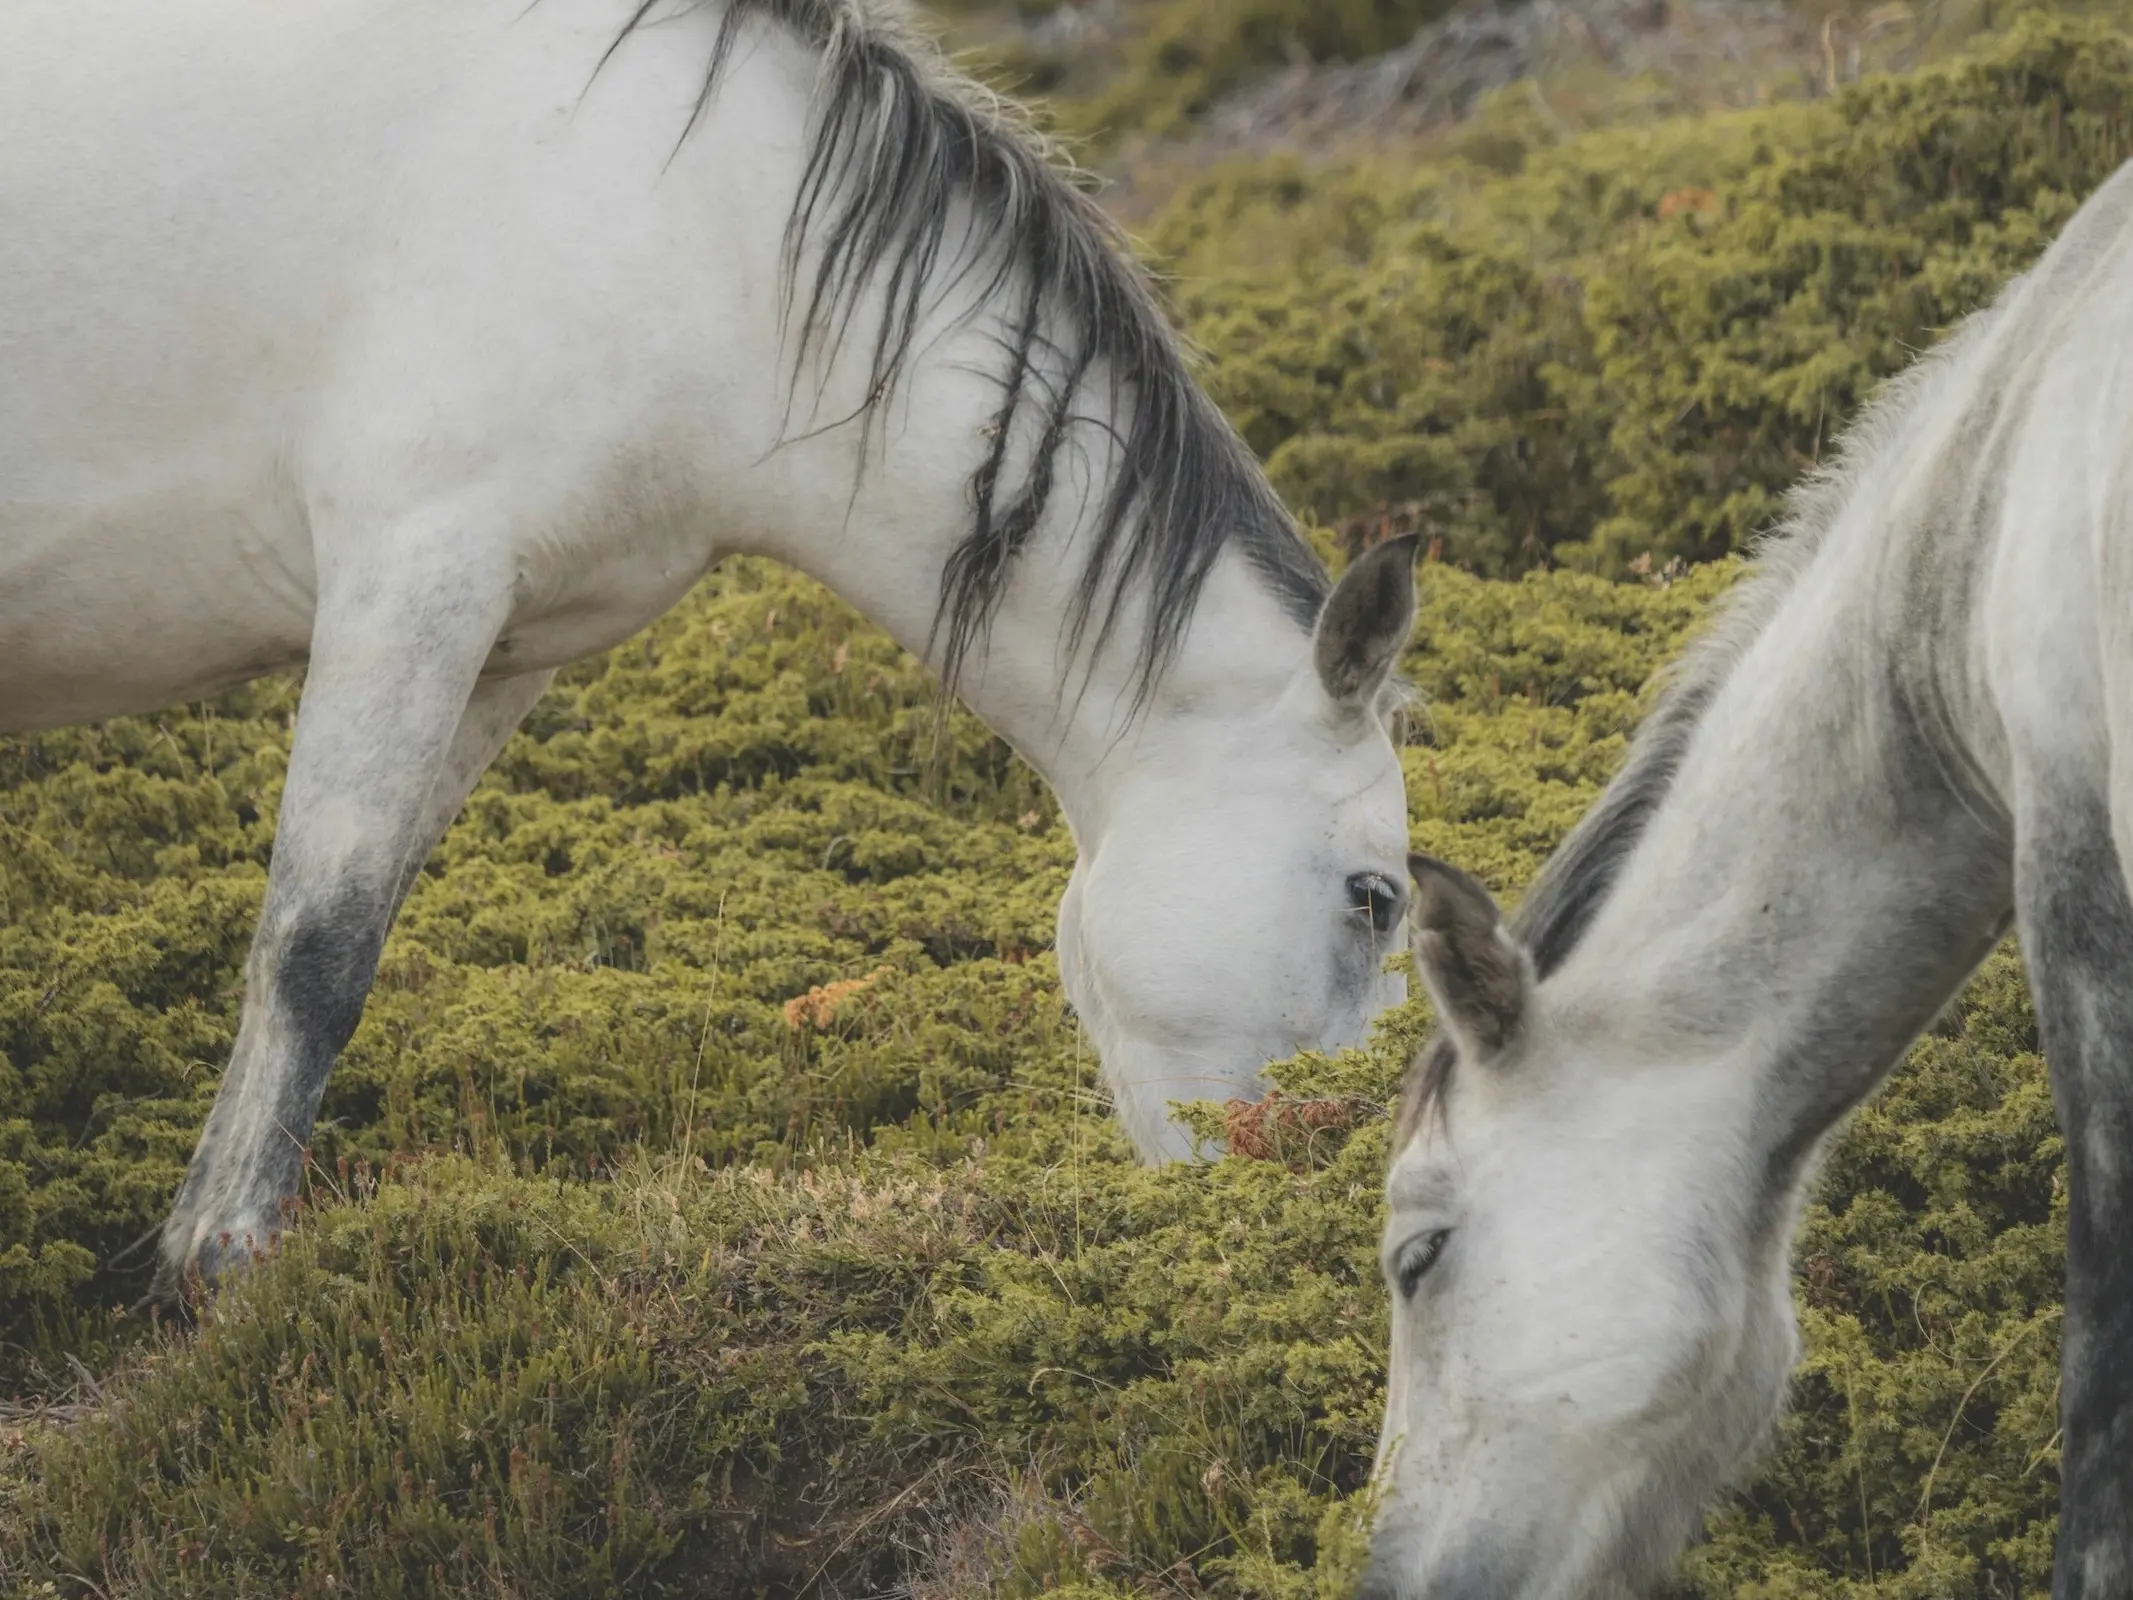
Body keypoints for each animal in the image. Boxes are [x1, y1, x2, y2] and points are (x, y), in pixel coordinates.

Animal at [4, 0, 1433, 1305]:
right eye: (1375, 897)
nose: (1324, 1179)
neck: (694, 231)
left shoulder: (503, 645)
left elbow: (356, 921)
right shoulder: (409, 575)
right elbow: (316, 944)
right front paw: (219, 1262)